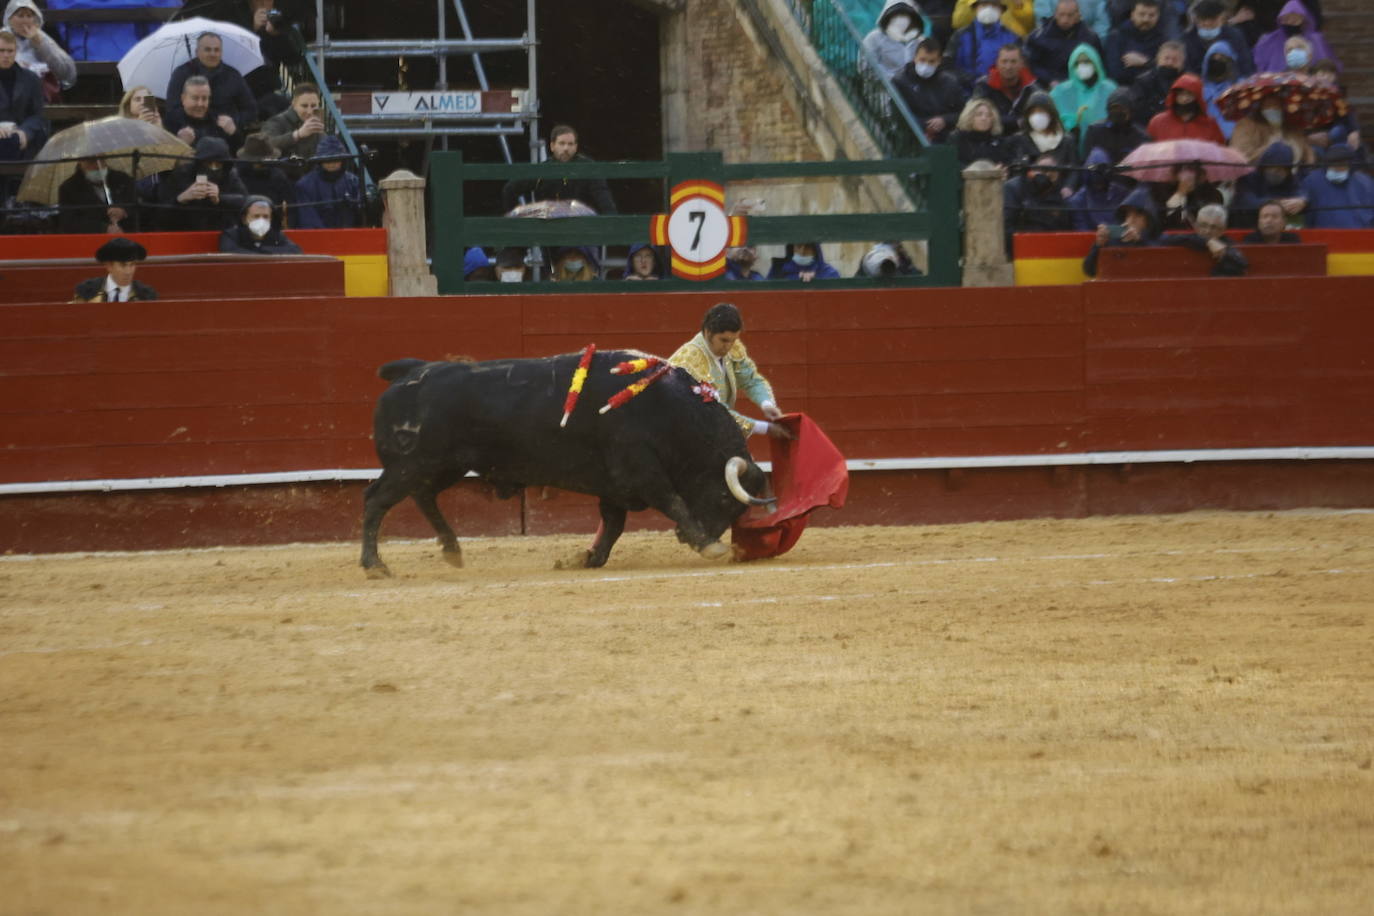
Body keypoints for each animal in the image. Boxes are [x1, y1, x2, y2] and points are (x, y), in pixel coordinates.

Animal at [362, 354, 774, 576]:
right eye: (723, 499)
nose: (686, 538)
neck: (669, 411)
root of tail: (410, 371)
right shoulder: (641, 472)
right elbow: (672, 501)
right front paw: (708, 546)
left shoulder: (615, 486)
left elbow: (613, 526)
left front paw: (586, 557)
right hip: (412, 463)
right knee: (376, 500)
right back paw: (374, 565)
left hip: (442, 465)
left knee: (424, 496)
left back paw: (452, 550)